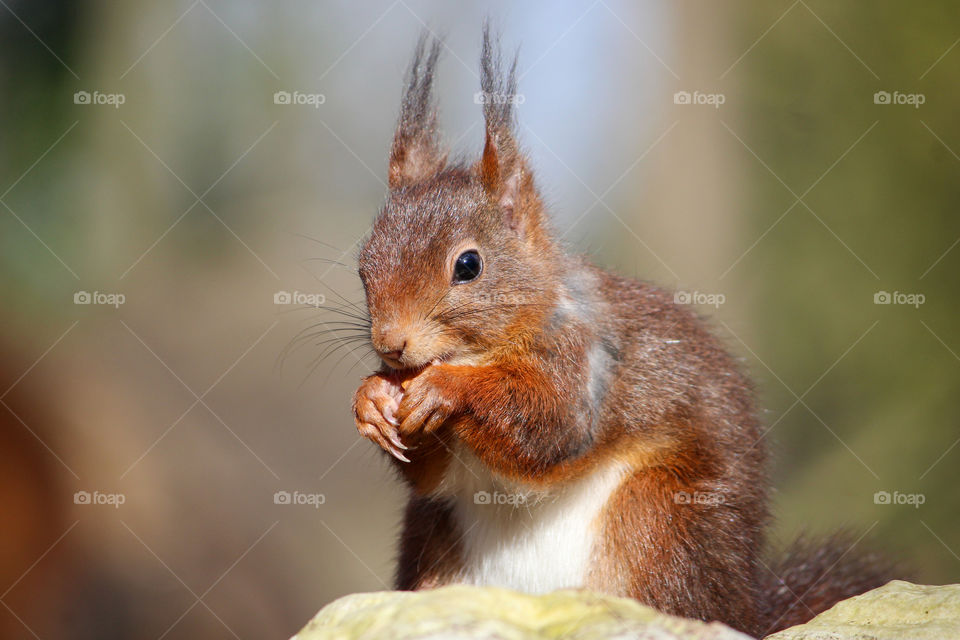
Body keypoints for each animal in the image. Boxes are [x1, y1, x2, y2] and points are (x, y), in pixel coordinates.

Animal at [350, 28, 899, 638]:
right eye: (363, 264)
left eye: (468, 265)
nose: (390, 344)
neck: (483, 349)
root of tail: (742, 611)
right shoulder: (437, 479)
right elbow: (430, 477)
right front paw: (372, 399)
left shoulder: (586, 361)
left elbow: (550, 426)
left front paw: (448, 390)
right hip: (436, 547)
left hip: (659, 518)